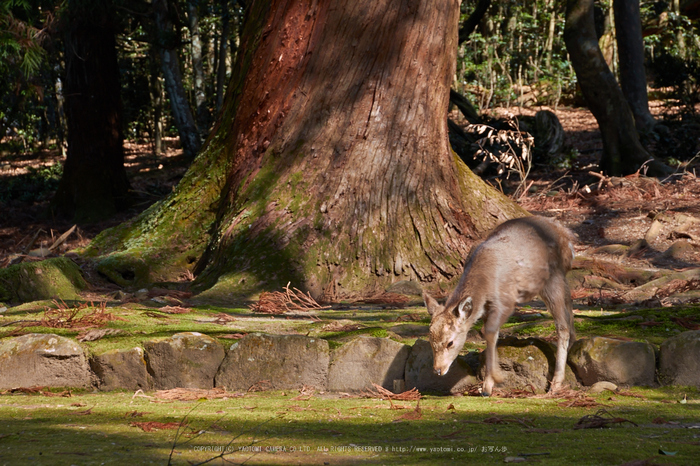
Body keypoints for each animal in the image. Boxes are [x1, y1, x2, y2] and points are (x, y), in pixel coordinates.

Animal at [424, 217, 576, 396]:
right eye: (430, 340)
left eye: (450, 343)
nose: (437, 370)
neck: (485, 282)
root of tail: (567, 237)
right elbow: (489, 333)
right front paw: (488, 383)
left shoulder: (506, 300)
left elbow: (489, 332)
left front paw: (490, 384)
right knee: (569, 305)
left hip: (552, 278)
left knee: (562, 324)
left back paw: (555, 384)